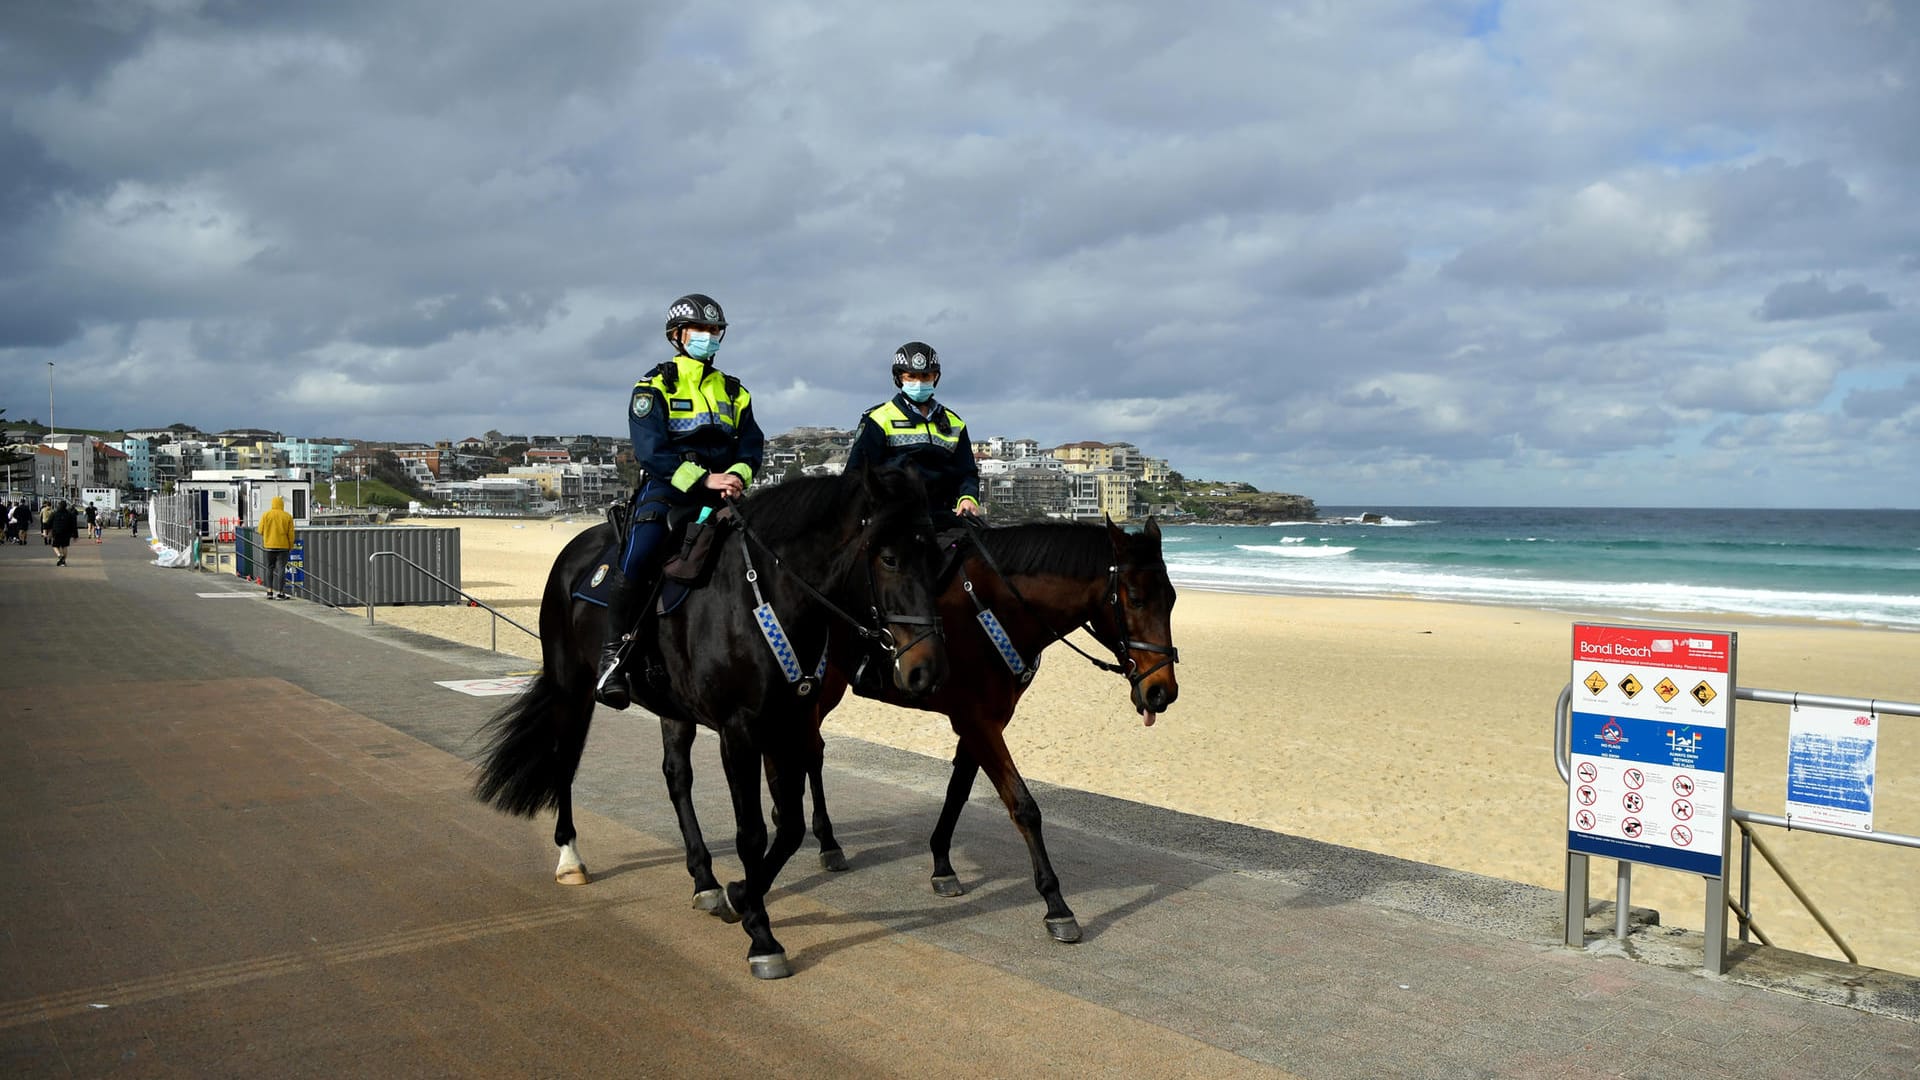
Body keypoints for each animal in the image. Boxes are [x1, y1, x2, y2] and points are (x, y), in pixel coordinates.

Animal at [466, 465, 944, 976]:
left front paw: (739, 895)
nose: (927, 669)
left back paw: (705, 879)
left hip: (673, 711)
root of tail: (574, 551)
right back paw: (570, 856)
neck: (763, 596)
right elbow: (752, 833)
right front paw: (761, 935)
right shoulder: (739, 732)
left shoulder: (790, 724)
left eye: (937, 558)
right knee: (565, 760)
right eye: (889, 558)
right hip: (571, 688)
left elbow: (790, 827)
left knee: (677, 778)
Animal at [656, 515, 1167, 941]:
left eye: (1172, 600)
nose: (1163, 690)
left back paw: (813, 832)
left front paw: (942, 863)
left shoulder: (983, 721)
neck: (992, 608)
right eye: (1137, 599)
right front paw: (1056, 903)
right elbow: (1023, 806)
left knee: (807, 751)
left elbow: (958, 791)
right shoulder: (978, 721)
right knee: (799, 752)